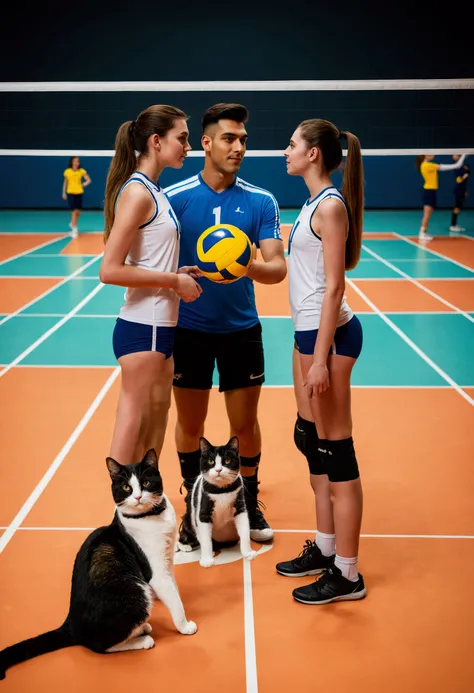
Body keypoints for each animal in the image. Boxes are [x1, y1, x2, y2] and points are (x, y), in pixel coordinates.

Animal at [0, 446, 196, 680]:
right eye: (126, 487)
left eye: (146, 482)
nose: (138, 496)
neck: (150, 517)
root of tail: (71, 623)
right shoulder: (157, 573)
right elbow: (174, 600)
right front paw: (185, 626)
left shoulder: (168, 561)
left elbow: (175, 591)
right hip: (136, 593)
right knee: (98, 646)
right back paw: (142, 639)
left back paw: (140, 628)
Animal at [179, 438, 260, 568]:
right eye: (211, 461)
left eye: (227, 461)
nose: (218, 470)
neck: (221, 490)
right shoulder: (203, 512)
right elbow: (206, 539)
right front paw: (207, 560)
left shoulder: (240, 507)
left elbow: (244, 531)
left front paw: (247, 552)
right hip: (188, 519)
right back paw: (185, 545)